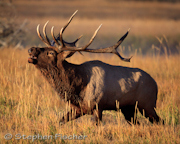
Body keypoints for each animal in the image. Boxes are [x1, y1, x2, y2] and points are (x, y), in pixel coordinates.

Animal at [27, 10, 163, 125]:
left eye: (51, 53)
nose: (31, 49)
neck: (76, 87)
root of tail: (156, 84)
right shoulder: (78, 109)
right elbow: (60, 121)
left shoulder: (98, 106)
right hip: (128, 108)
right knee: (138, 123)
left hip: (147, 104)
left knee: (160, 121)